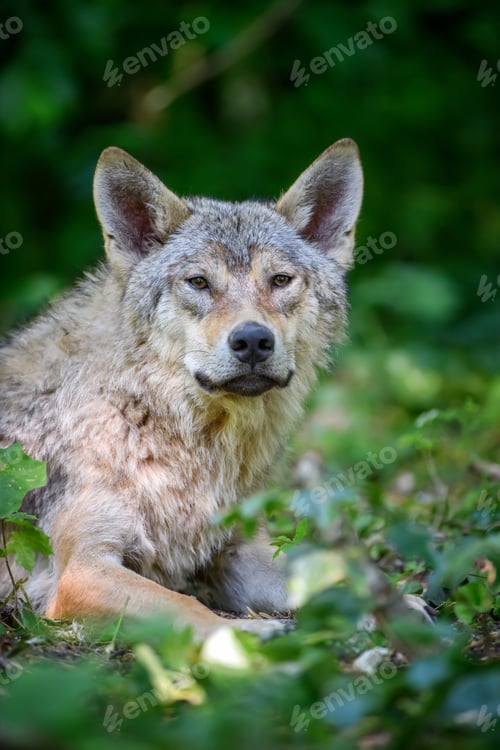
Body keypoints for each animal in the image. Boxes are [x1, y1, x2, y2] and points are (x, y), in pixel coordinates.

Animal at [0, 139, 363, 638]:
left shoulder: (236, 549)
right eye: (199, 282)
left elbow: (326, 577)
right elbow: (187, 607)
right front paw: (248, 637)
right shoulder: (81, 571)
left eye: (280, 280)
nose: (253, 340)